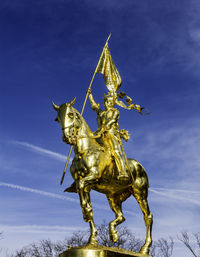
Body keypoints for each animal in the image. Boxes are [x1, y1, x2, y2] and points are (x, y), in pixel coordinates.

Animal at [52, 98, 152, 254]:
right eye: (57, 118)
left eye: (70, 115)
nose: (67, 137)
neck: (83, 151)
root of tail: (139, 165)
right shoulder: (86, 187)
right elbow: (89, 208)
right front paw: (92, 239)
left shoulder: (92, 177)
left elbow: (82, 189)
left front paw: (86, 214)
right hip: (113, 197)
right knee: (121, 217)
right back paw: (114, 234)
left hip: (140, 193)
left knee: (147, 217)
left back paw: (145, 248)